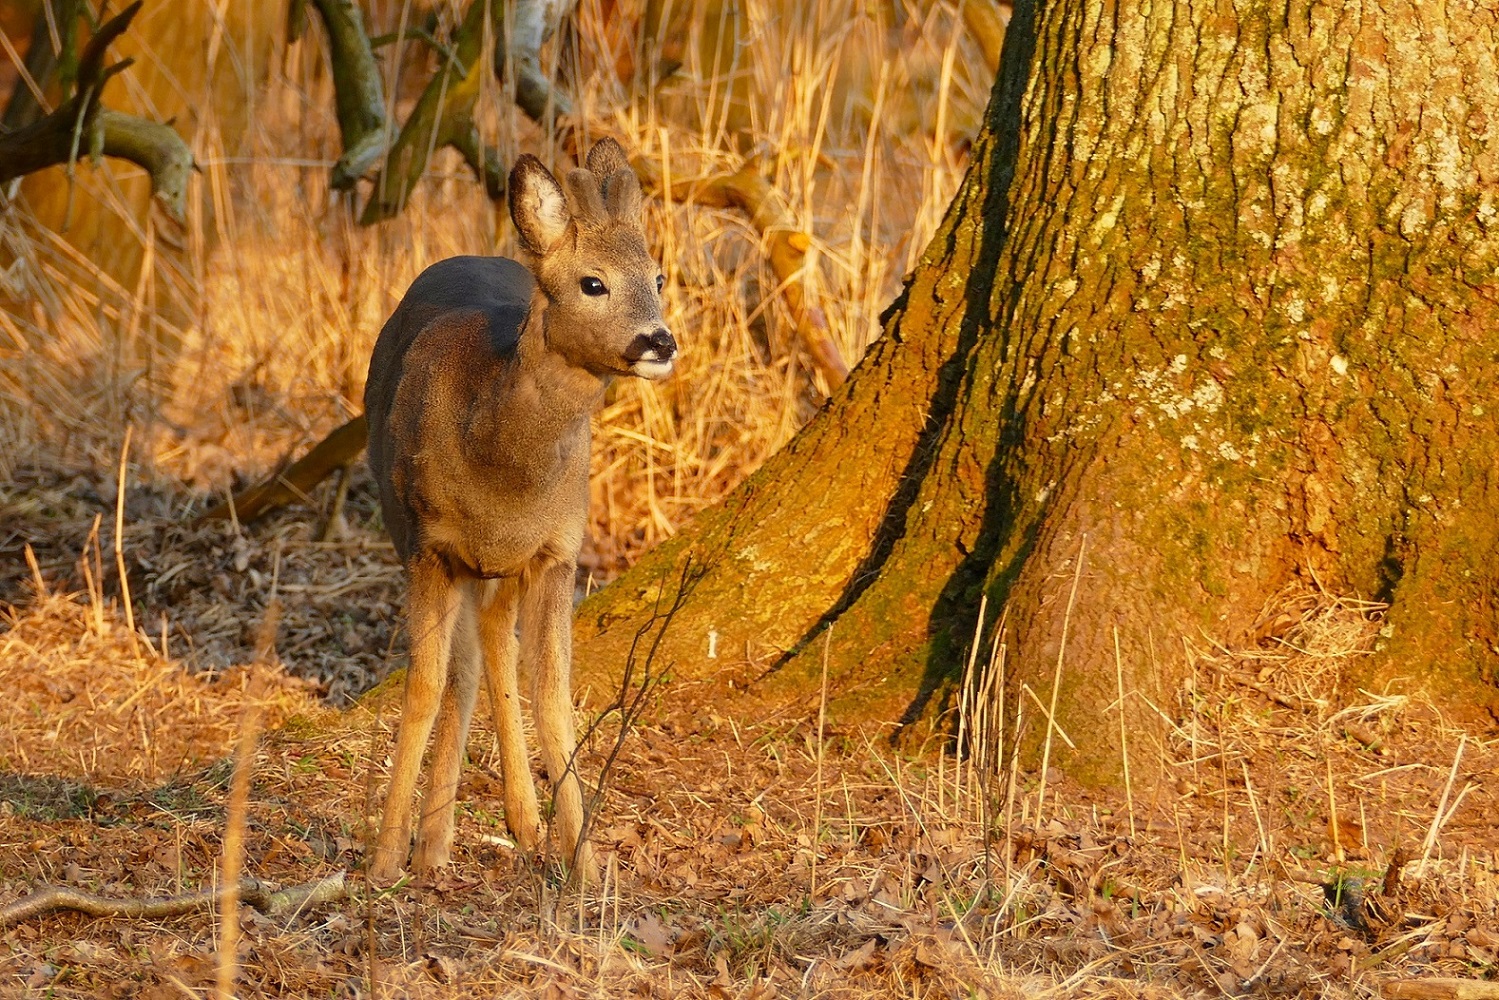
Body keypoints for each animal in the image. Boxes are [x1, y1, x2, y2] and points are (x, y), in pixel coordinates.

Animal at [362, 137, 674, 881]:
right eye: (593, 283)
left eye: (658, 276)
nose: (659, 342)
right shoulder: (428, 546)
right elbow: (423, 687)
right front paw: (384, 857)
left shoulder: (558, 550)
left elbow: (554, 694)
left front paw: (583, 864)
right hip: (419, 535)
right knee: (468, 663)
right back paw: (435, 842)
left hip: (507, 566)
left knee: (493, 650)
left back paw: (518, 824)